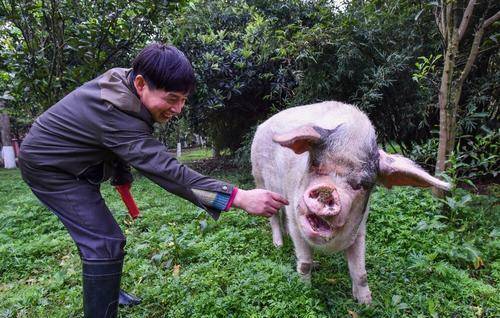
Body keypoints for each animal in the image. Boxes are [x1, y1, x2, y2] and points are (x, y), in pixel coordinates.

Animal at [252, 101, 452, 304]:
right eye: (315, 164)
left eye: (361, 184)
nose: (327, 190)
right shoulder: (296, 220)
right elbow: (304, 263)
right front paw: (304, 291)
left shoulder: (360, 228)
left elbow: (360, 272)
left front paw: (366, 303)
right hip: (260, 179)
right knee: (273, 217)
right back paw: (279, 245)